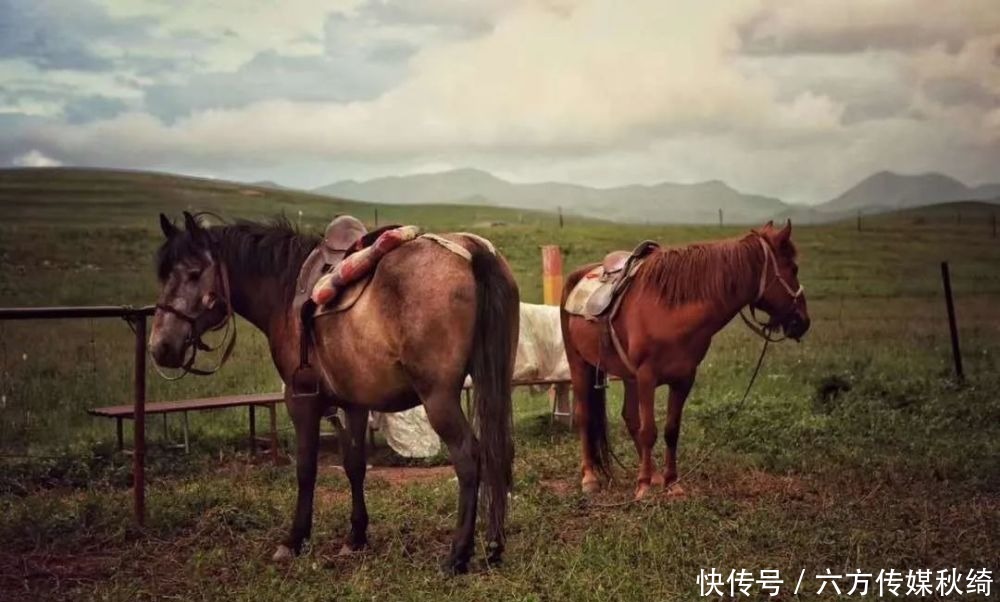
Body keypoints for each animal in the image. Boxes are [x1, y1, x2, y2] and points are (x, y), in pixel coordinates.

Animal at [154, 212, 524, 572]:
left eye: (193, 273)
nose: (161, 347)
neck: (285, 291)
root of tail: (473, 250)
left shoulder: (300, 399)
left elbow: (306, 469)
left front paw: (293, 541)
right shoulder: (355, 403)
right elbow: (355, 465)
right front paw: (356, 537)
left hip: (439, 397)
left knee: (469, 455)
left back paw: (458, 555)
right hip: (493, 380)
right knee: (500, 449)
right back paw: (494, 546)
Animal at [560, 219, 808, 496]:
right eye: (793, 268)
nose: (803, 321)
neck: (669, 310)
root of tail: (581, 274)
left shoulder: (683, 378)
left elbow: (671, 431)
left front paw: (672, 483)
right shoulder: (647, 376)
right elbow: (649, 431)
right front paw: (643, 488)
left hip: (628, 375)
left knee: (630, 417)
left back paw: (654, 475)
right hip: (580, 365)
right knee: (585, 416)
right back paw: (590, 478)